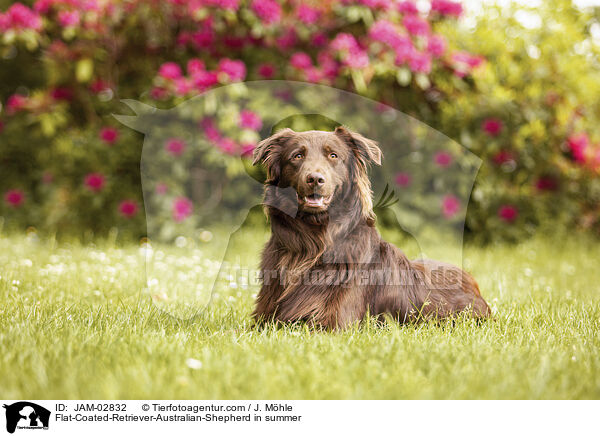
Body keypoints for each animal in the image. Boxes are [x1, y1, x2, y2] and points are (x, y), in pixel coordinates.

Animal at [251, 126, 490, 328]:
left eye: (333, 156)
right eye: (297, 156)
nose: (315, 179)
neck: (312, 244)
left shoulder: (335, 323)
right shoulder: (262, 320)